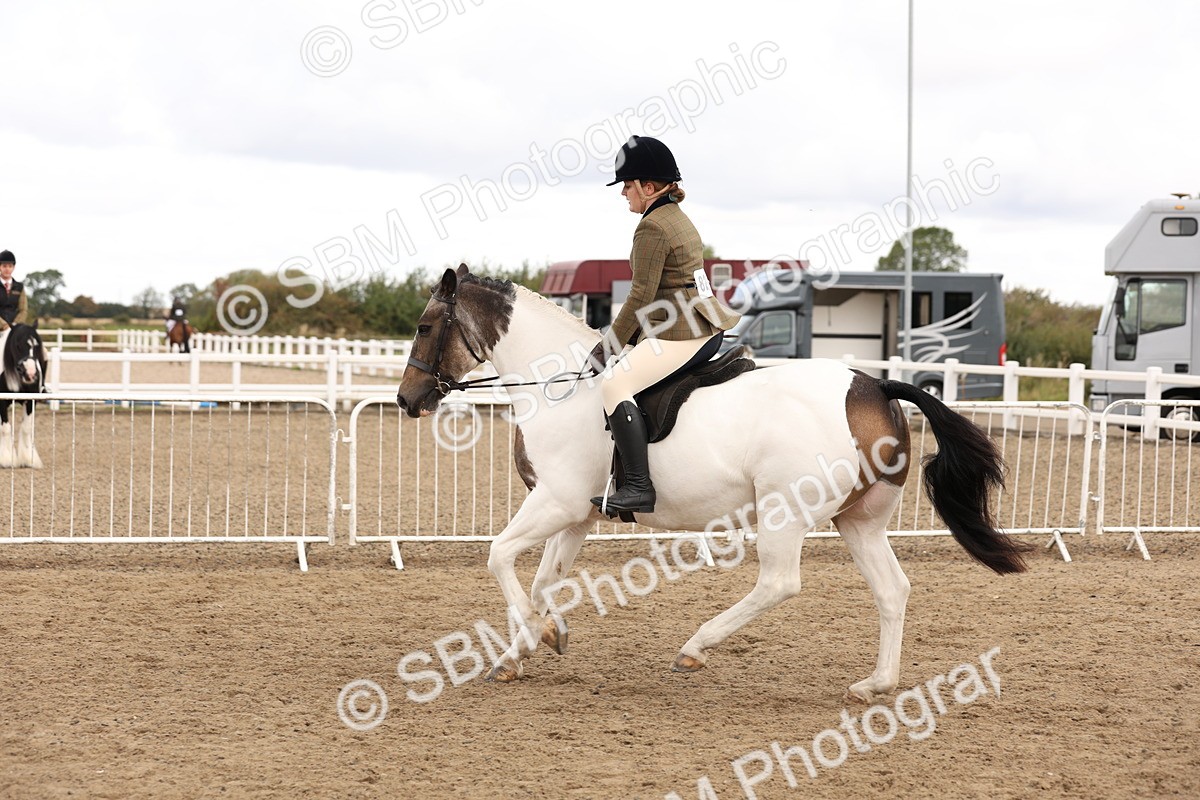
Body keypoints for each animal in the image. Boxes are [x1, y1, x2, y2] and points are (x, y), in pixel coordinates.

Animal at [0, 323, 47, 468]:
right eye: (17, 345)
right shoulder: (1, 403)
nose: (30, 373)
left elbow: (26, 428)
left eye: (37, 346)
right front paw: (7, 459)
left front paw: (29, 459)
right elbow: (5, 428)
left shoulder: (31, 401)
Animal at [395, 265, 1031, 702]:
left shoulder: (556, 501)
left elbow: (500, 557)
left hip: (783, 512)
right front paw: (529, 646)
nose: (407, 400)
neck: (559, 386)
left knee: (779, 583)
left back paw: (695, 648)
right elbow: (545, 580)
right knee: (892, 589)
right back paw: (875, 683)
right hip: (858, 520)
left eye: (425, 327)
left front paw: (535, 635)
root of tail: (873, 385)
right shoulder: (576, 515)